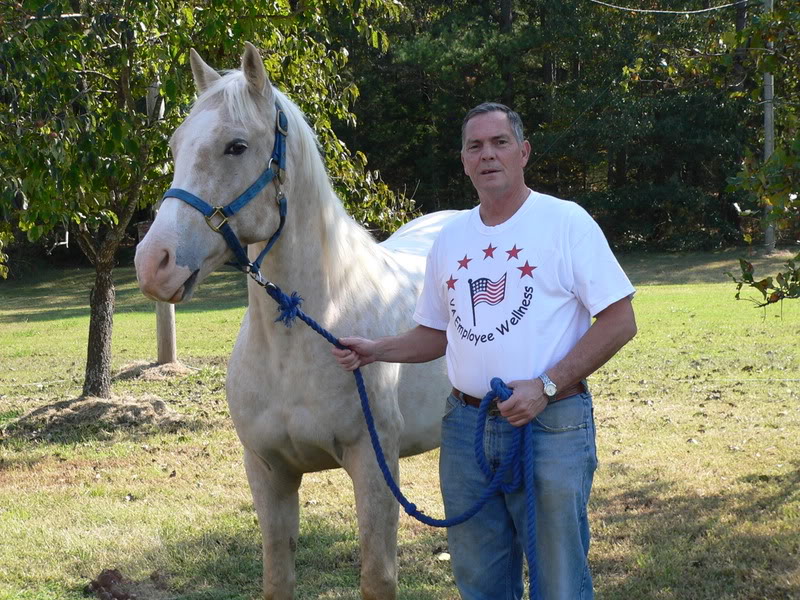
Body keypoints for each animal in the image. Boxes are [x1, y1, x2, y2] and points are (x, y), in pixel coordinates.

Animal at [134, 43, 454, 600]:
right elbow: (277, 576)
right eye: (175, 145)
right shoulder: (268, 471)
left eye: (236, 146)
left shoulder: (375, 471)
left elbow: (377, 577)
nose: (153, 263)